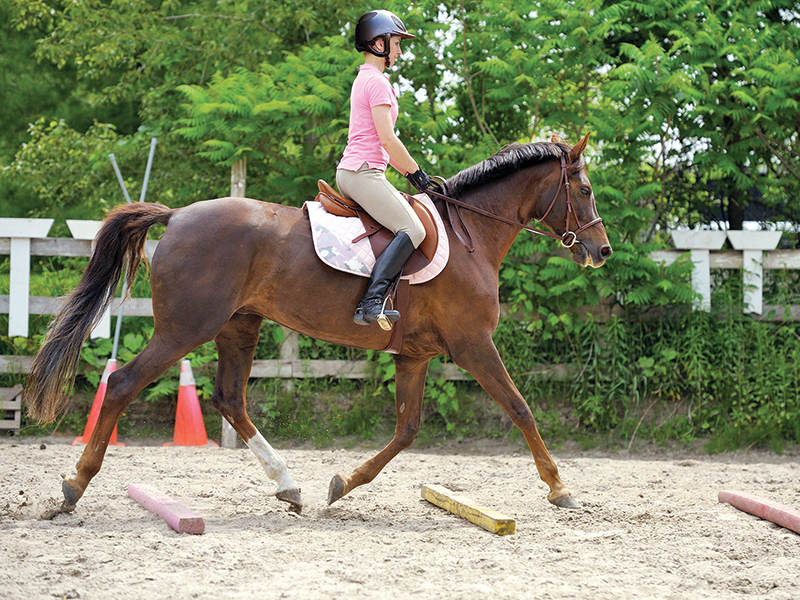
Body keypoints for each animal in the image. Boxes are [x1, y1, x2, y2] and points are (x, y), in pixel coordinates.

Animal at [25, 133, 612, 515]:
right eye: (584, 190)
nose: (601, 251)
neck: (472, 236)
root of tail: (177, 215)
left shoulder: (415, 354)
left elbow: (406, 430)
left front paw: (343, 484)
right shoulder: (473, 344)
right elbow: (519, 407)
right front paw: (560, 488)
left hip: (239, 326)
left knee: (231, 399)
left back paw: (288, 487)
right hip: (185, 329)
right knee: (124, 383)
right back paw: (75, 486)